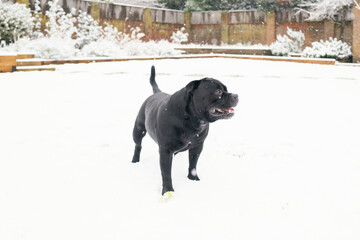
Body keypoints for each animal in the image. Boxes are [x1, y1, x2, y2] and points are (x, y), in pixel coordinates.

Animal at [131, 66, 238, 196]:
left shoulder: (197, 146)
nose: (236, 95)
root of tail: (157, 93)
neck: (192, 120)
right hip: (138, 129)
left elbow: (193, 165)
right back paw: (135, 161)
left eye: (226, 89)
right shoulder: (165, 150)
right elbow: (166, 173)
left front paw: (193, 179)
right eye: (218, 92)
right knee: (138, 145)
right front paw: (167, 191)